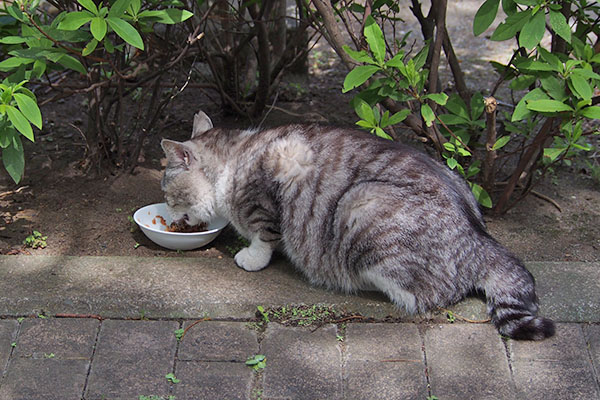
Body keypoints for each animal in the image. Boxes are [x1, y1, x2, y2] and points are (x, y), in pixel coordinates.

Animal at [162, 110, 556, 340]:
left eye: (168, 194)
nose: (173, 215)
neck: (234, 158)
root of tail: (481, 239)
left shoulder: (272, 186)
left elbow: (263, 234)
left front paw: (252, 256)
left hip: (360, 206)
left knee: (422, 295)